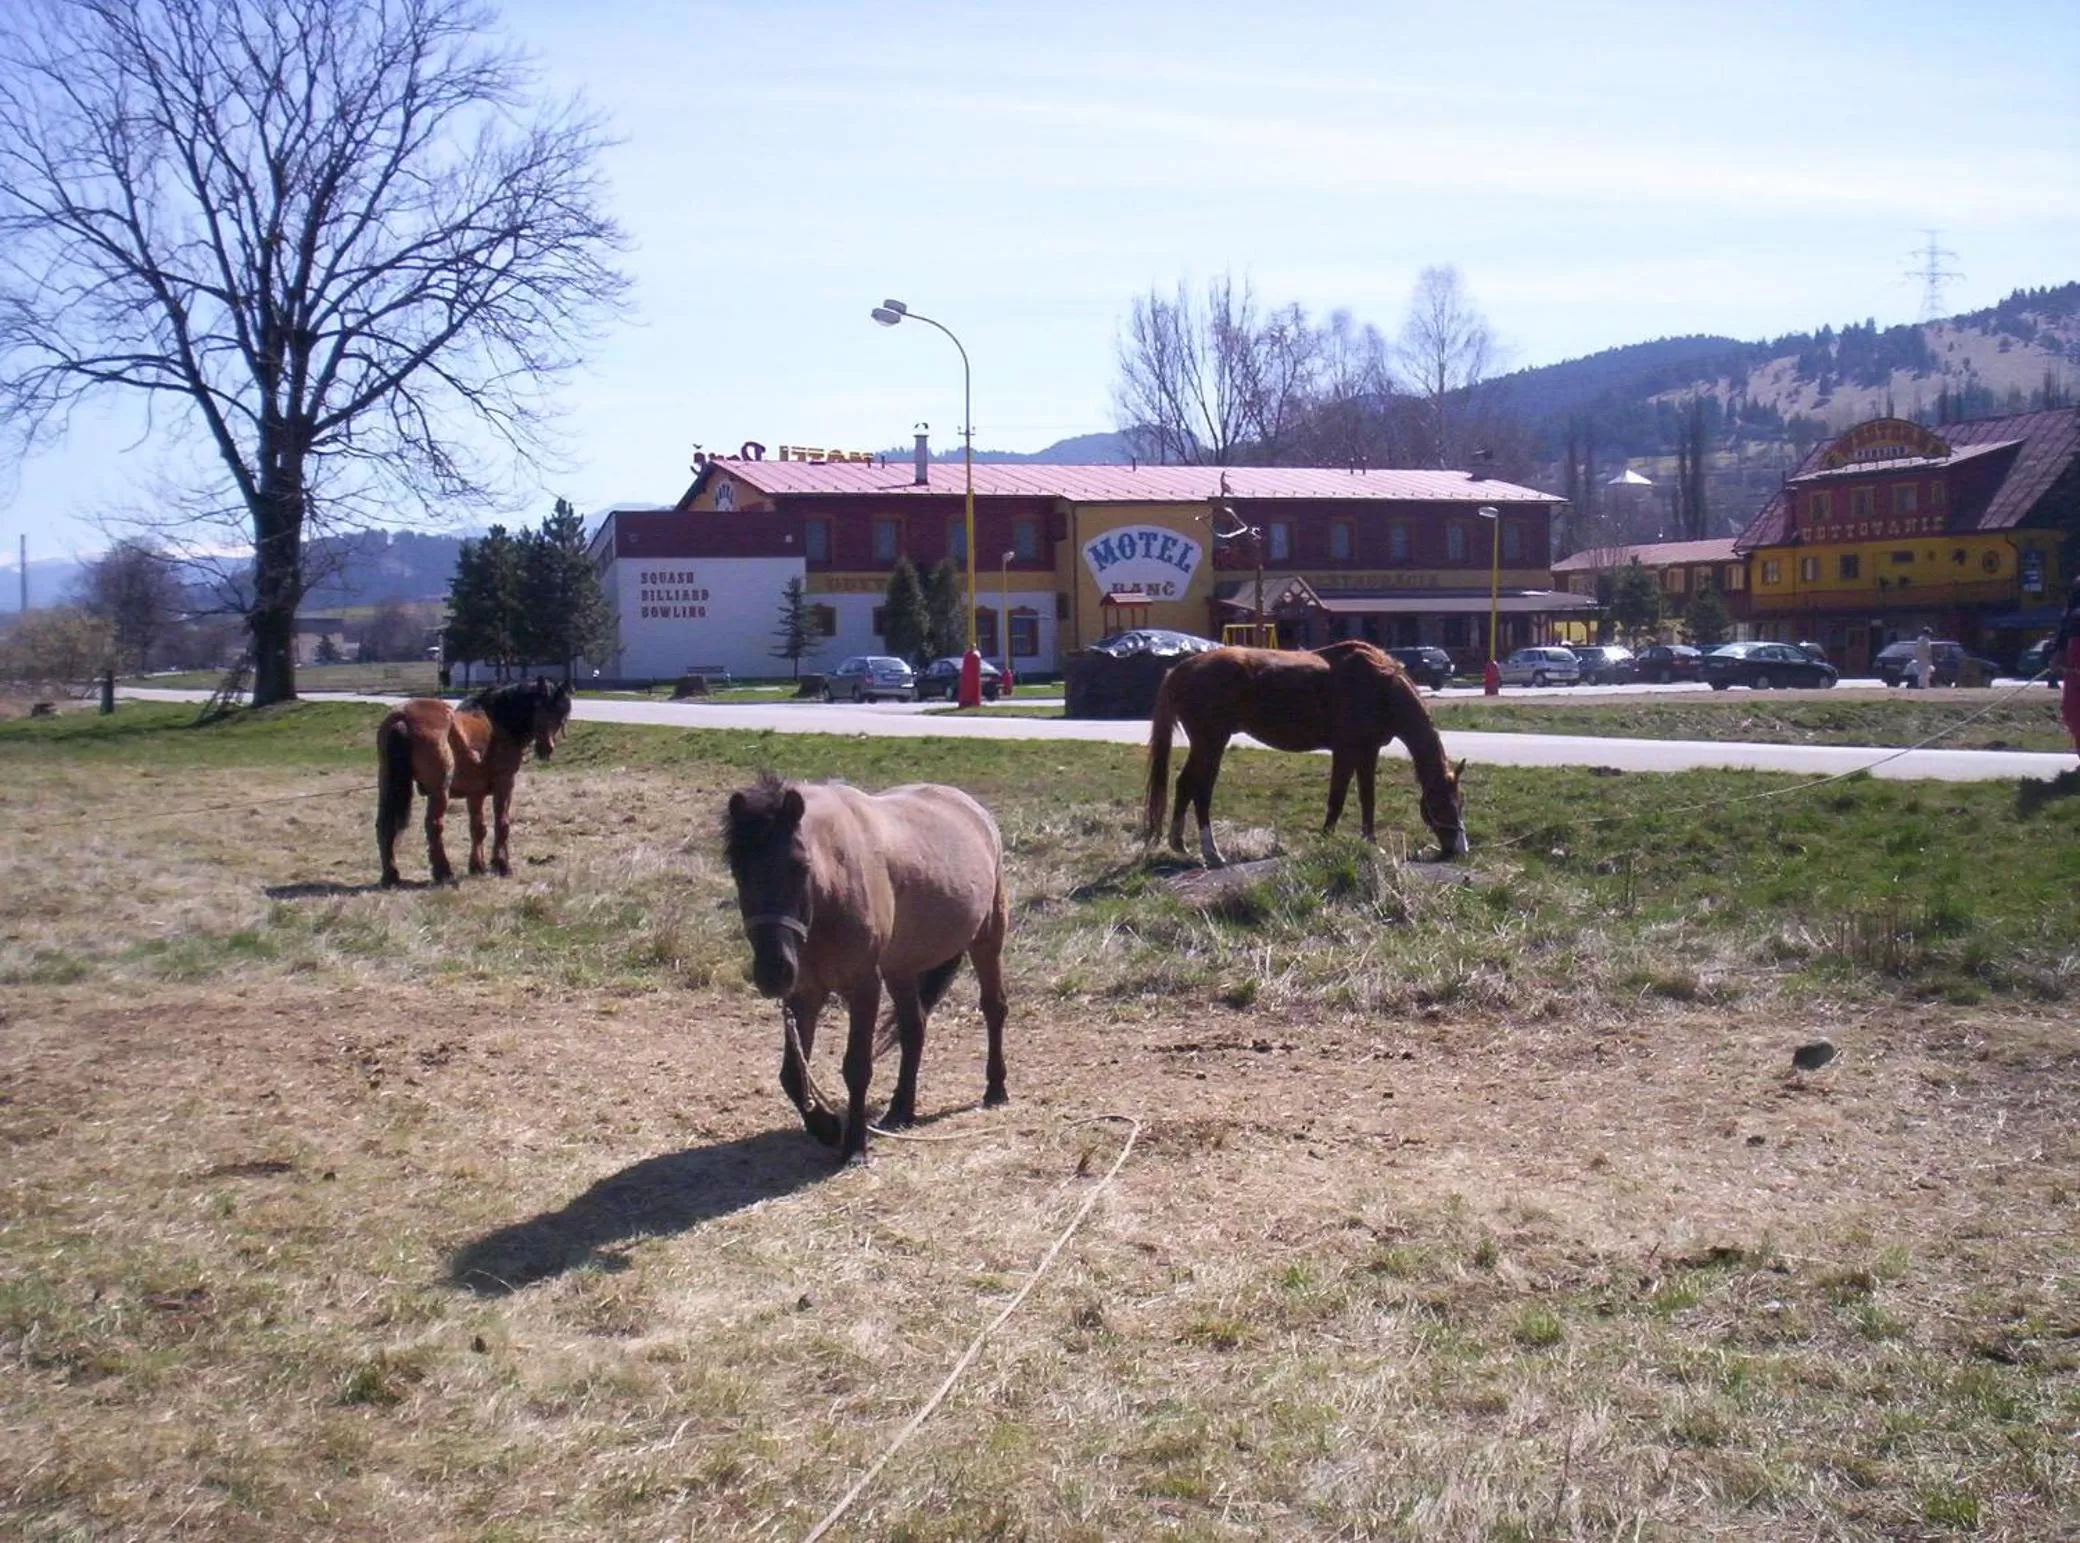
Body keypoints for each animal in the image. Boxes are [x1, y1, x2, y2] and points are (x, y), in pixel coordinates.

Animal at [375, 677, 572, 886]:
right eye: (541, 708)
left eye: (561, 714)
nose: (547, 749)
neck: (498, 722)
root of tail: (403, 718)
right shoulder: (505, 783)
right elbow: (502, 823)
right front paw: (502, 865)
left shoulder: (475, 793)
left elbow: (478, 828)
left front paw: (477, 866)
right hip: (439, 791)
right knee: (434, 825)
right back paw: (444, 872)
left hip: (387, 784)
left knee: (385, 825)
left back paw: (391, 875)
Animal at [724, 774, 1010, 1165]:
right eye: (738, 871)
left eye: (800, 867)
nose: (773, 972)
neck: (831, 891)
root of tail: (973, 808)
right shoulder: (805, 992)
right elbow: (793, 1075)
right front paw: (827, 1127)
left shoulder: (863, 987)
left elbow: (857, 1067)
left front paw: (854, 1145)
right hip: (901, 966)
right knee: (913, 1027)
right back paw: (901, 1110)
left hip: (987, 939)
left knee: (994, 1009)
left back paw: (995, 1089)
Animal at [1144, 641, 1468, 867]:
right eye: (1441, 803)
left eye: (1460, 802)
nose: (1460, 849)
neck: (1379, 684)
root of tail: (1180, 669)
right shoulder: (1346, 751)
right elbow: (1337, 799)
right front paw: (1326, 840)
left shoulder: (1367, 752)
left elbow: (1367, 800)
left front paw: (1370, 843)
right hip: (1211, 743)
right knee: (1201, 790)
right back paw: (1212, 853)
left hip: (1206, 745)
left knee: (1185, 784)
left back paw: (1180, 844)